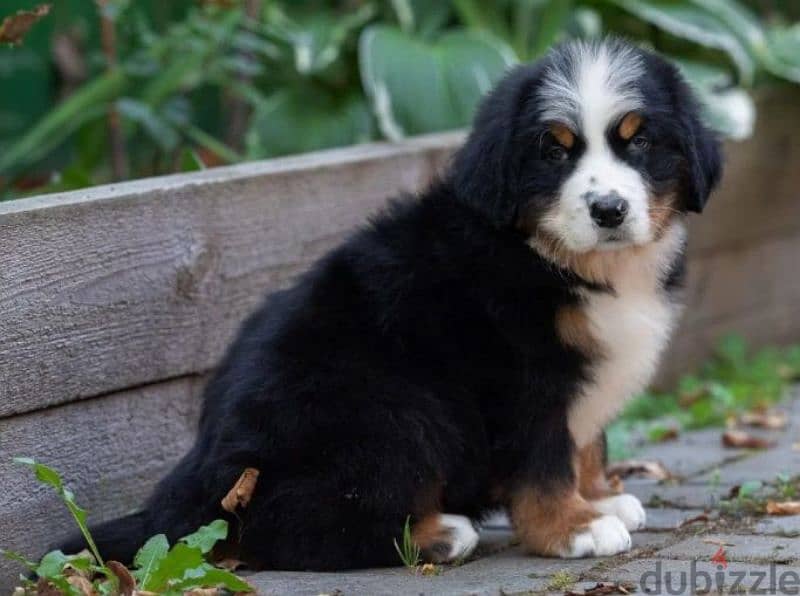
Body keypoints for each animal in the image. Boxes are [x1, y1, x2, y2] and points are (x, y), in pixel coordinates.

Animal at [62, 37, 720, 568]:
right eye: (554, 151)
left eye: (640, 142)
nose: (609, 209)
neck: (557, 256)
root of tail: (199, 468)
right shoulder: (521, 378)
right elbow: (544, 460)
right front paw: (573, 527)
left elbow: (587, 442)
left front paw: (602, 497)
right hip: (395, 413)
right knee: (278, 528)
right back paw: (438, 535)